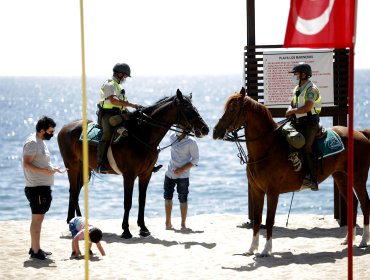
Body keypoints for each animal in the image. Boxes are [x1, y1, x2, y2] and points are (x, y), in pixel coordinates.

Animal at [57, 89, 208, 238]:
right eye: (187, 108)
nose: (205, 129)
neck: (142, 136)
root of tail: (64, 128)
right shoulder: (129, 175)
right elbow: (128, 202)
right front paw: (126, 230)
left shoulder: (146, 174)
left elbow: (142, 201)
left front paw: (143, 228)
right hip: (72, 167)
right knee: (74, 191)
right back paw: (76, 221)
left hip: (84, 169)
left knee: (74, 191)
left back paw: (76, 220)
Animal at [212, 87, 370, 256]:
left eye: (233, 108)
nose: (215, 131)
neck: (268, 147)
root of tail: (361, 133)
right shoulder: (256, 190)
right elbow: (257, 219)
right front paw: (252, 248)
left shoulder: (272, 192)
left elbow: (269, 220)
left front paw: (266, 250)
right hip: (341, 177)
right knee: (353, 203)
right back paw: (348, 240)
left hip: (358, 178)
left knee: (364, 203)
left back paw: (363, 241)